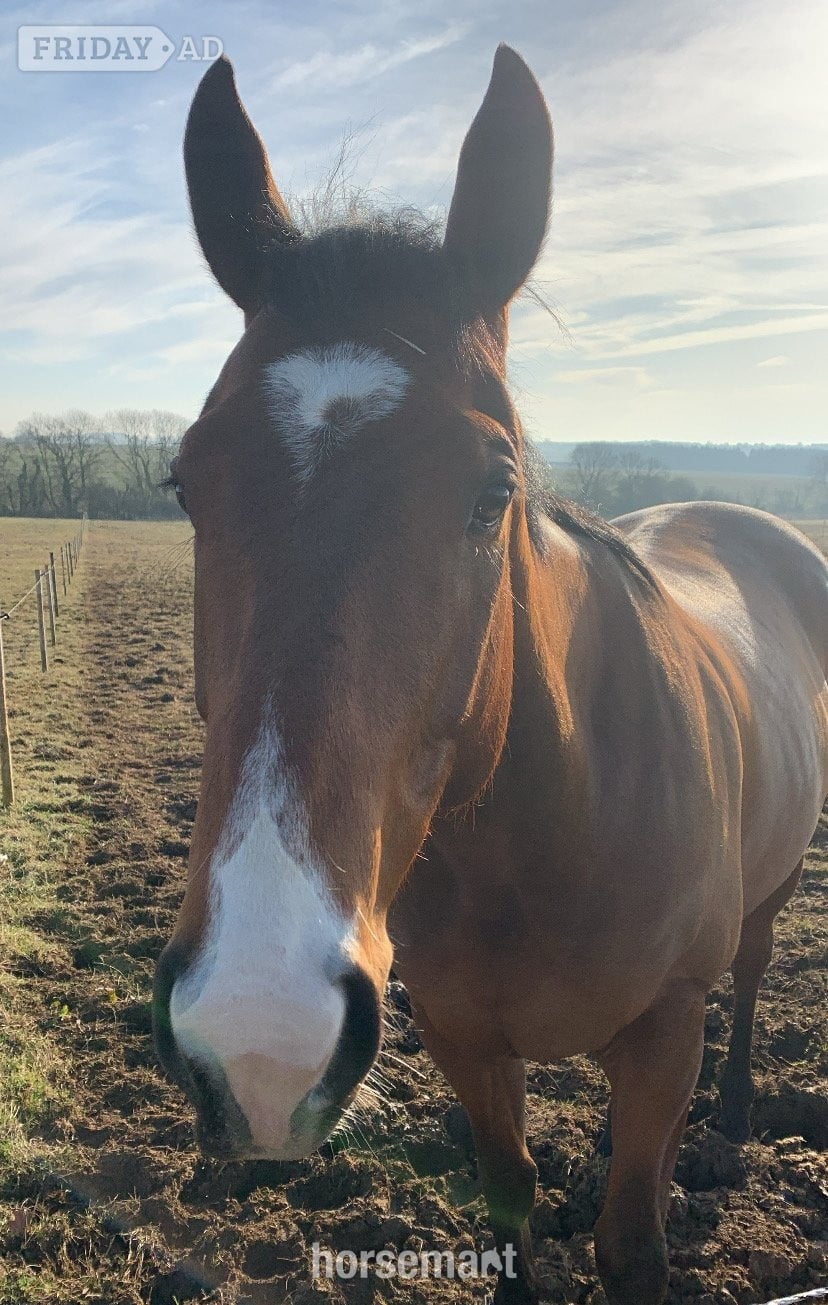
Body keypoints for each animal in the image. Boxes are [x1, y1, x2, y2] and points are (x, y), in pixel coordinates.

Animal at [152, 46, 828, 1305]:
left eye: (491, 492)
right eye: (183, 482)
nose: (260, 1031)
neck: (558, 823)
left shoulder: (667, 1024)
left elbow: (632, 1242)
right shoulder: (463, 1035)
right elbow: (510, 1200)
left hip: (768, 898)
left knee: (755, 977)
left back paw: (730, 1115)